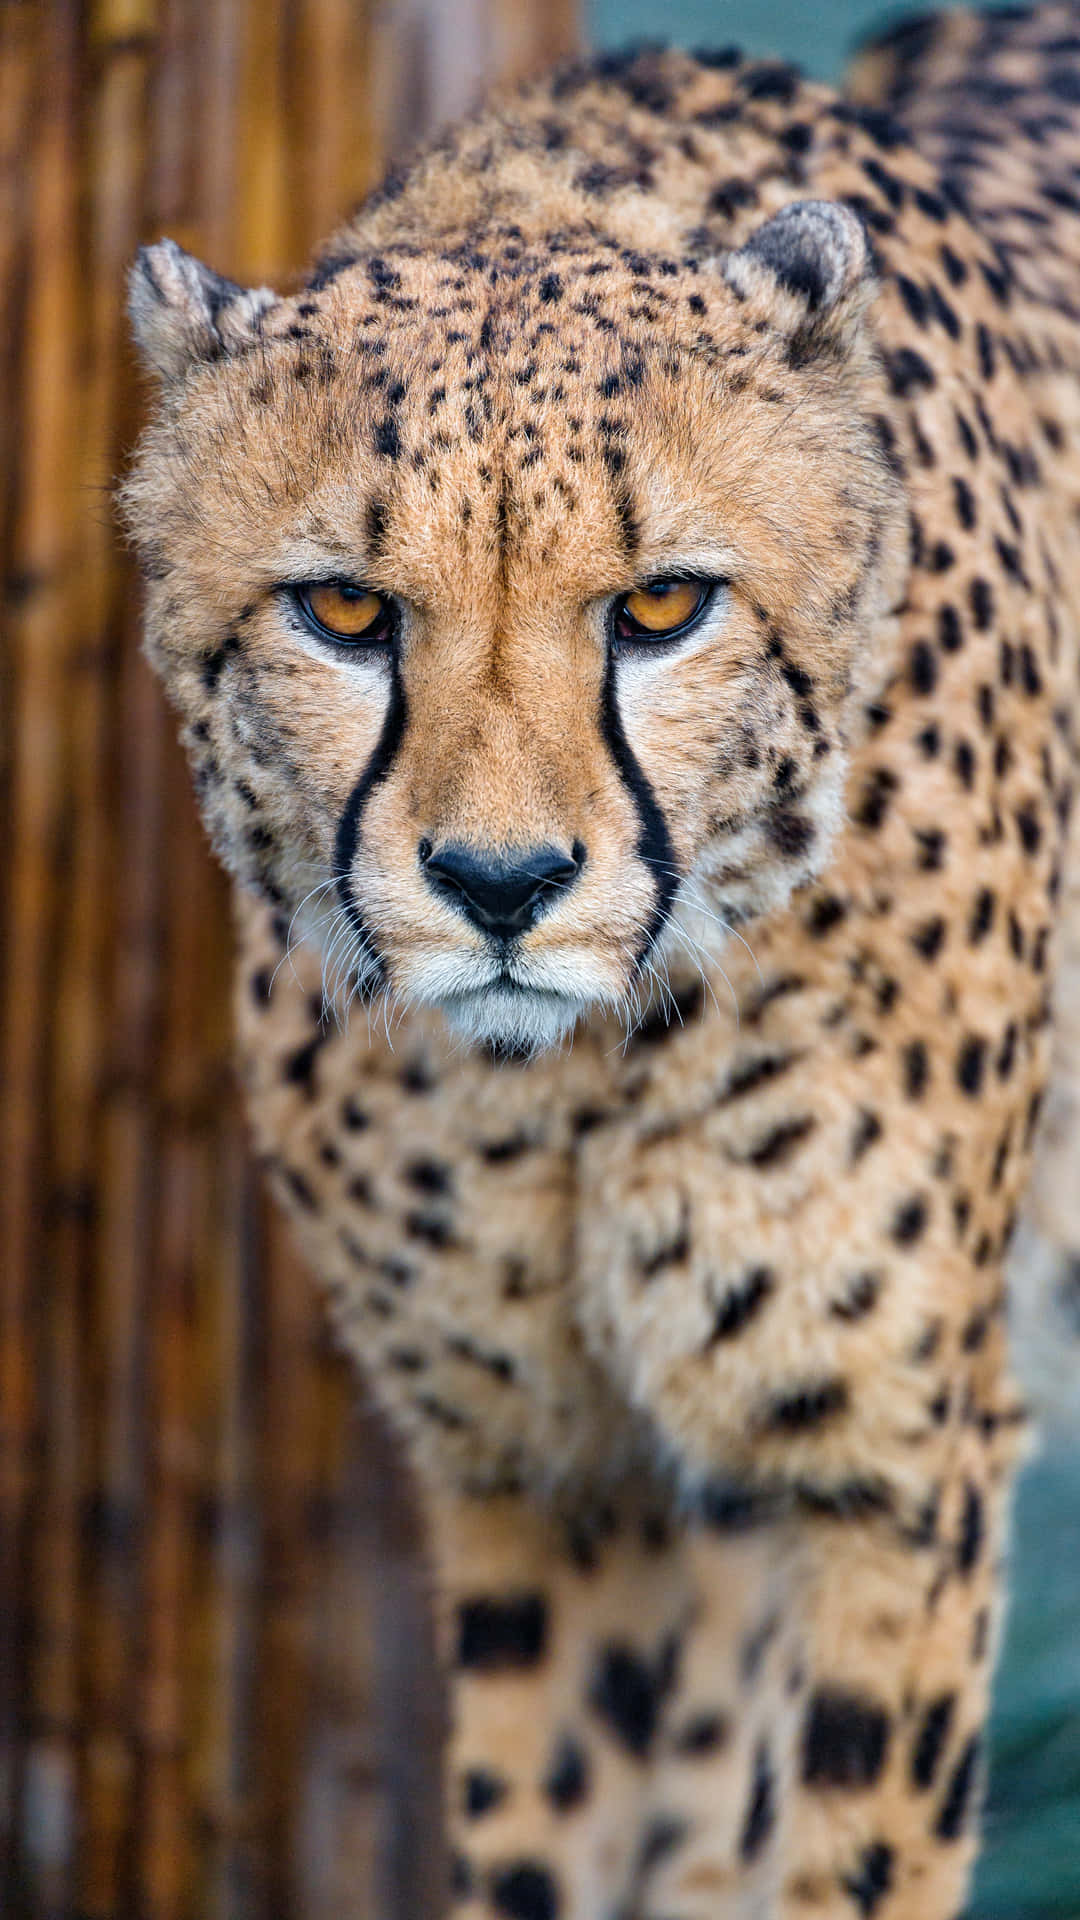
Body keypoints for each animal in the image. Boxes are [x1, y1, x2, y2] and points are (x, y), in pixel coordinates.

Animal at [122, 7, 1076, 1912]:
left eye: (661, 607)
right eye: (346, 612)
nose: (502, 885)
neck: (583, 1078)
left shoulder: (893, 1475)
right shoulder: (551, 1480)